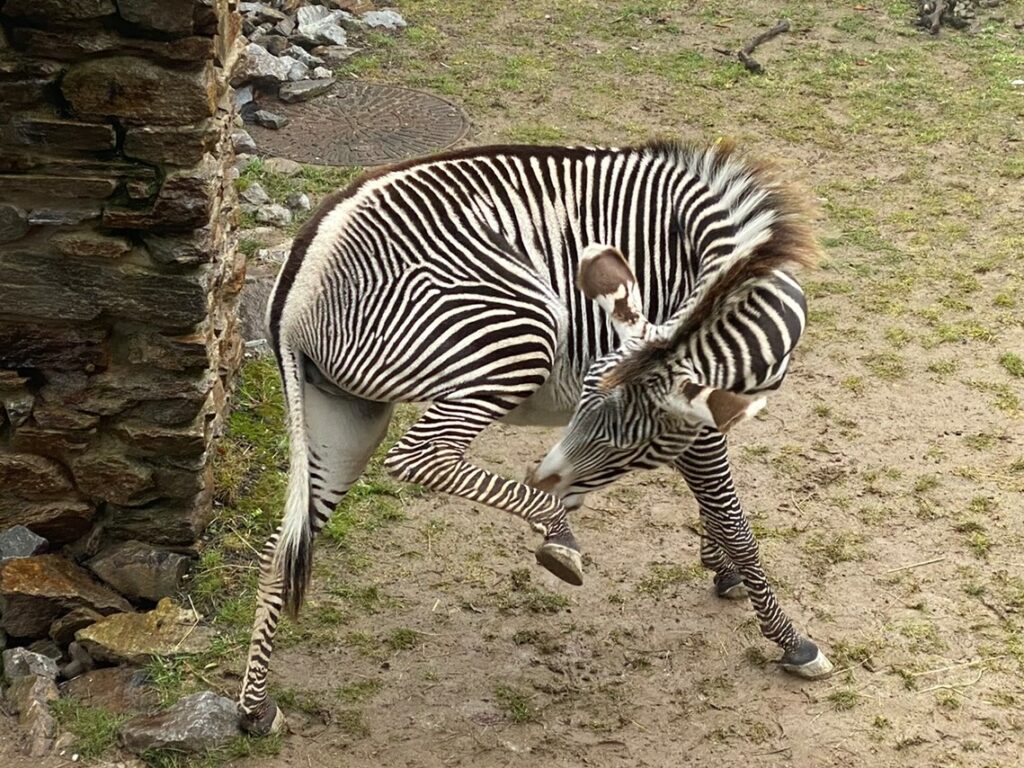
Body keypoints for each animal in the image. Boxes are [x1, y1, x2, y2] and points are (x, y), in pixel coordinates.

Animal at [238, 139, 833, 735]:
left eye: (624, 446)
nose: (544, 479)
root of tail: (296, 286)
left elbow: (715, 509)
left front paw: (721, 568)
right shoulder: (698, 422)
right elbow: (734, 521)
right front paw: (790, 640)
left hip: (344, 418)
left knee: (279, 548)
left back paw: (255, 708)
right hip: (519, 335)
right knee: (422, 455)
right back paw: (558, 535)